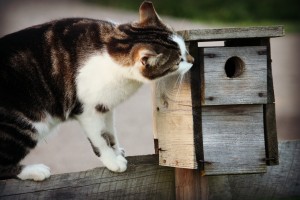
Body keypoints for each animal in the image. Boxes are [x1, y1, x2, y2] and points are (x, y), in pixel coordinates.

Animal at [0, 0, 195, 181]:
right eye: (178, 61)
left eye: (185, 50)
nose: (192, 61)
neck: (112, 46)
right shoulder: (87, 110)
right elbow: (100, 139)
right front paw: (112, 161)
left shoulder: (105, 106)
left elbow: (110, 132)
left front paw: (116, 151)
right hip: (24, 124)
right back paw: (35, 171)